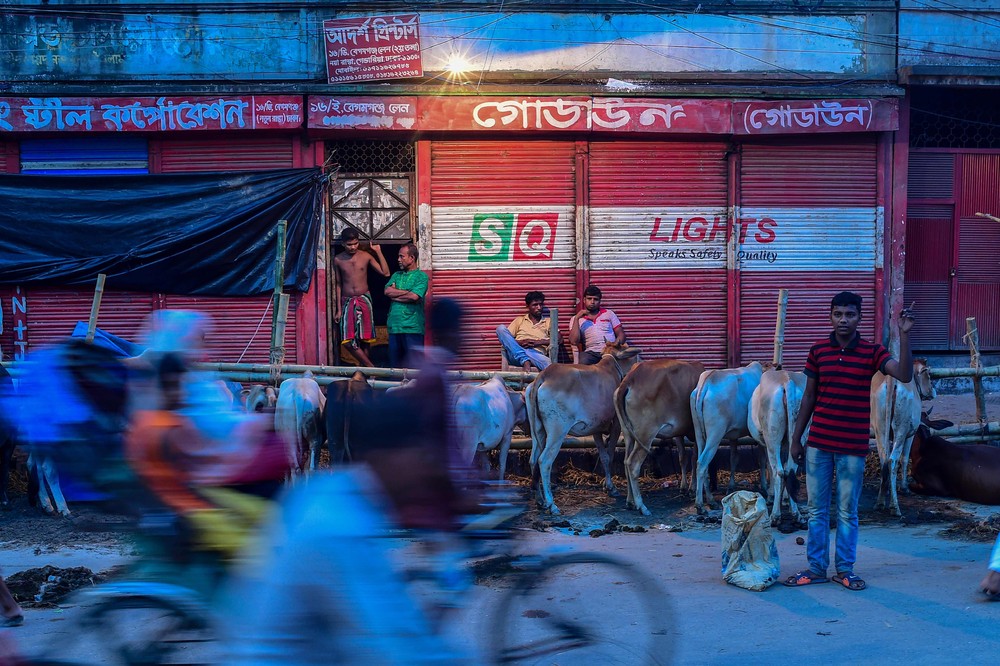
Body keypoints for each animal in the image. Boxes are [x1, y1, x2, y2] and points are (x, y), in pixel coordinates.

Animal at [612, 358, 708, 512]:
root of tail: (630, 378)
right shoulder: (695, 430)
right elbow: (694, 458)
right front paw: (692, 488)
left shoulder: (678, 432)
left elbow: (683, 457)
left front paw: (684, 487)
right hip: (646, 434)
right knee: (632, 464)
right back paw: (641, 506)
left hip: (628, 434)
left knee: (626, 462)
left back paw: (630, 501)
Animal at [692, 360, 768, 510]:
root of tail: (706, 382)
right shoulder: (759, 435)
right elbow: (762, 460)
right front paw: (764, 487)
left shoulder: (734, 435)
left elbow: (734, 458)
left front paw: (731, 487)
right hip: (715, 435)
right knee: (702, 463)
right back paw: (700, 505)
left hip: (700, 434)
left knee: (701, 462)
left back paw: (710, 500)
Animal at [748, 368, 808, 524]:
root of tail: (787, 380)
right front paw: (785, 499)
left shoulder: (764, 443)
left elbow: (768, 466)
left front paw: (771, 496)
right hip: (798, 436)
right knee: (790, 469)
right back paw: (796, 513)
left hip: (772, 437)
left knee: (779, 472)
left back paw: (775, 516)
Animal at [868, 358, 936, 512]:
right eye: (928, 375)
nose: (933, 391)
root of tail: (891, 381)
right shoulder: (910, 434)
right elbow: (904, 459)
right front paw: (904, 487)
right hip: (901, 429)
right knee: (892, 460)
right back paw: (895, 507)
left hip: (880, 428)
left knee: (884, 459)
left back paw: (880, 502)